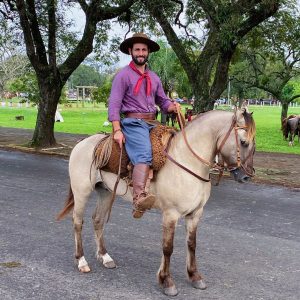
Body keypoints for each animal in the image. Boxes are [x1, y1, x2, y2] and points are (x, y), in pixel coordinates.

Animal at [56, 108, 255, 296]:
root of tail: (82, 143)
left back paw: (105, 257)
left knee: (97, 220)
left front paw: (194, 276)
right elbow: (167, 248)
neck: (187, 161)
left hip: (105, 192)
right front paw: (166, 281)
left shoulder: (195, 214)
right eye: (243, 142)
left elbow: (192, 244)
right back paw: (81, 261)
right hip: (81, 192)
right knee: (77, 222)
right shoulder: (170, 214)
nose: (247, 176)